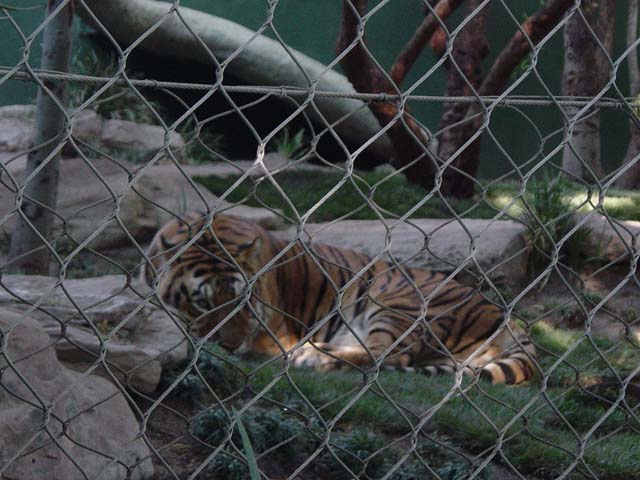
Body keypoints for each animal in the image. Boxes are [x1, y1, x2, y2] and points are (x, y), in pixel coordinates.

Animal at [142, 211, 536, 384]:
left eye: (242, 302)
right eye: (203, 301)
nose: (229, 346)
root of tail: (505, 317)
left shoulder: (272, 330)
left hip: (395, 298)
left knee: (386, 355)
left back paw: (310, 356)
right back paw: (314, 353)